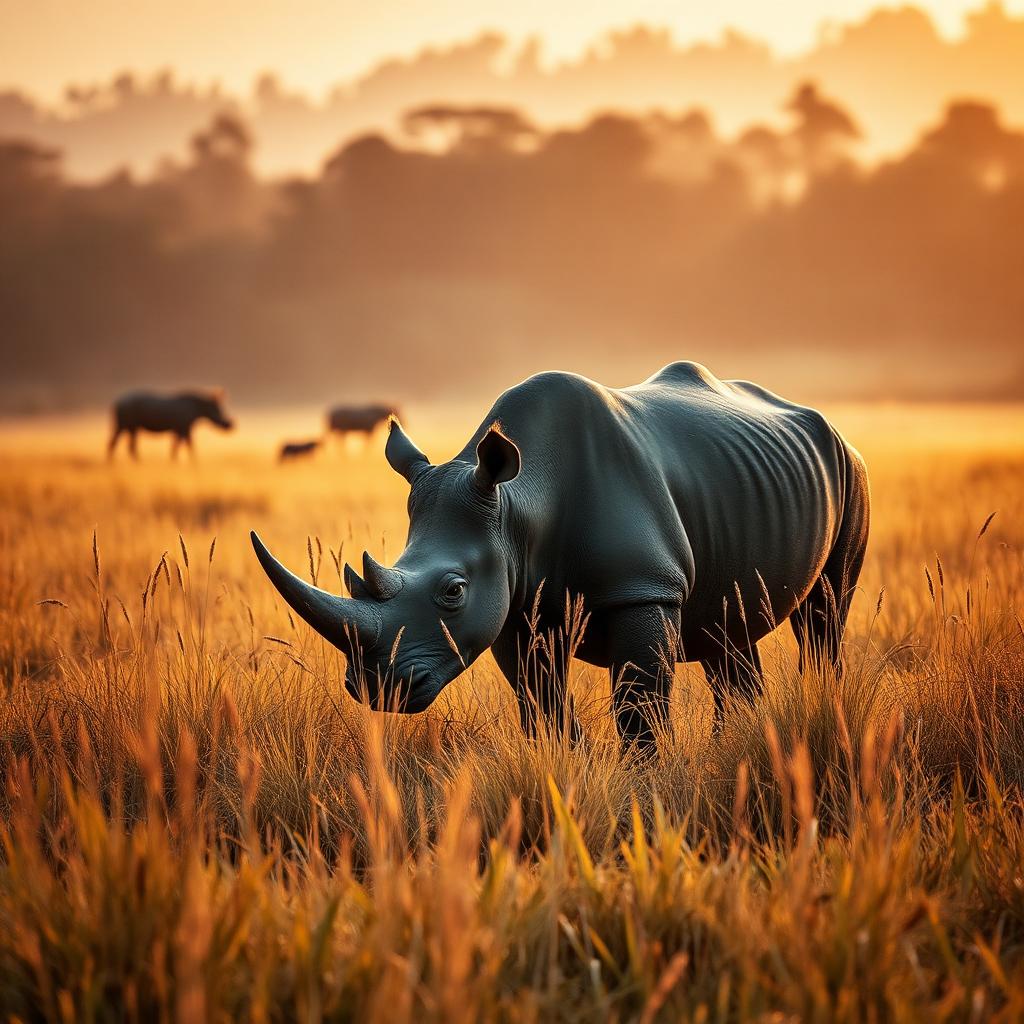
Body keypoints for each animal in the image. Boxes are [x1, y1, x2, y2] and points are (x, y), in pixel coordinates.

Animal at [252, 363, 869, 748]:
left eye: (453, 591)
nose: (376, 689)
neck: (519, 503)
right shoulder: (515, 603)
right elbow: (540, 702)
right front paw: (570, 769)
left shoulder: (643, 586)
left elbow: (638, 706)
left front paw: (645, 783)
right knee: (727, 630)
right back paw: (736, 747)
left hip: (849, 464)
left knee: (824, 615)